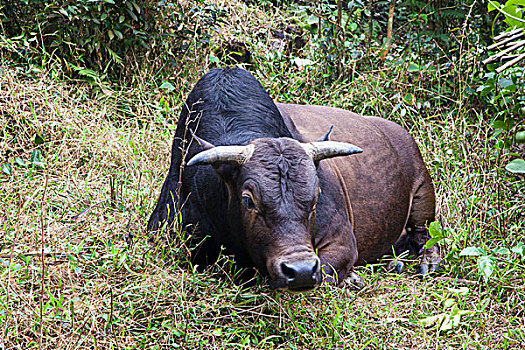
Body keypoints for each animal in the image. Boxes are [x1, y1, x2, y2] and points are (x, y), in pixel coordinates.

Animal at [147, 67, 438, 292]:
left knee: (425, 235)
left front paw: (351, 278)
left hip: (423, 196)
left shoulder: (341, 241)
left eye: (316, 196)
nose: (301, 270)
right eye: (248, 201)